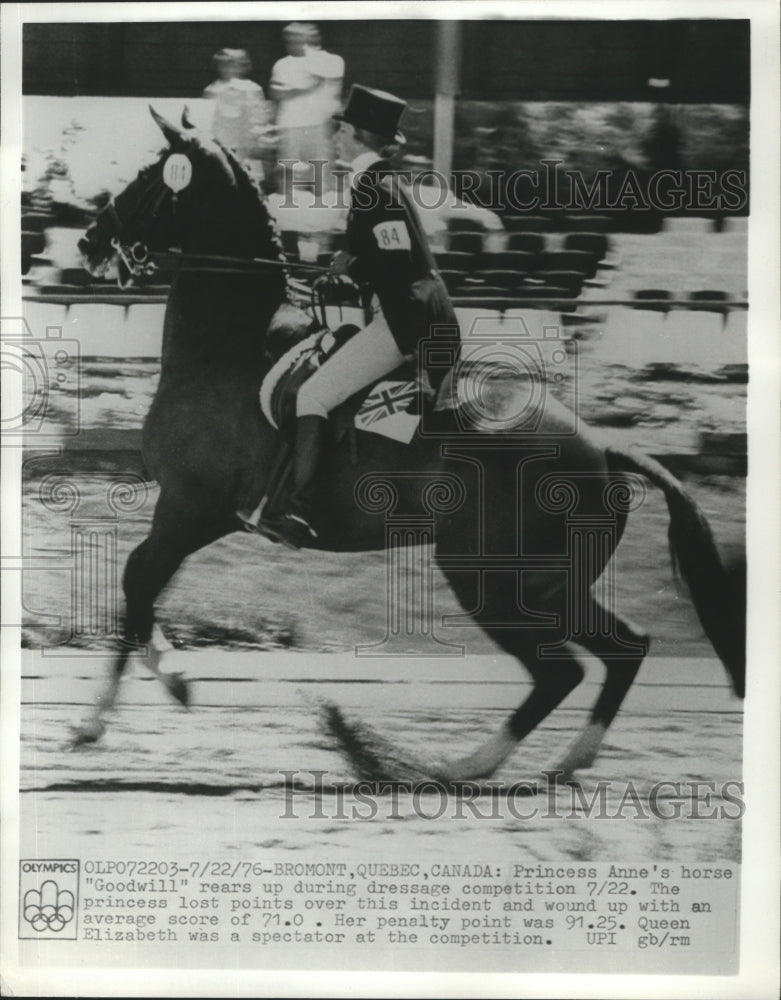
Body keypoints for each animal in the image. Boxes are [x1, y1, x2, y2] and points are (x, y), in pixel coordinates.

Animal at [74, 107, 744, 780]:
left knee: (561, 671)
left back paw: (464, 767)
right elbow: (143, 586)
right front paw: (152, 688)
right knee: (624, 647)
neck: (230, 343)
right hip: (550, 584)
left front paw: (118, 708)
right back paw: (561, 761)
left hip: (493, 581)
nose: (88, 242)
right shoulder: (206, 515)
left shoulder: (190, 507)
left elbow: (137, 581)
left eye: (147, 176)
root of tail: (603, 452)